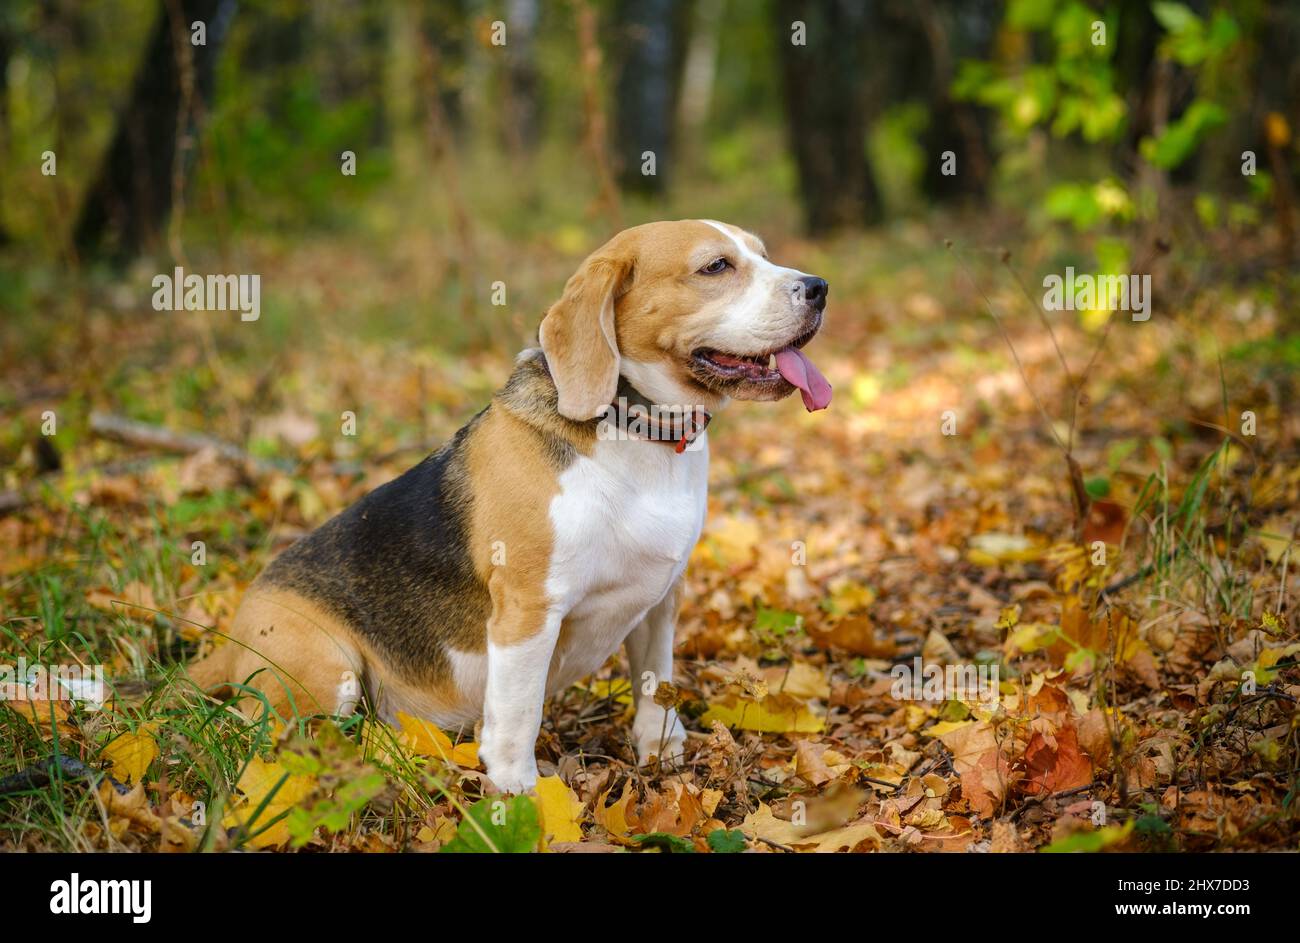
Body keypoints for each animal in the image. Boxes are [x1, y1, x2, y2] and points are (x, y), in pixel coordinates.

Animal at [187, 217, 826, 790]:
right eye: (716, 267)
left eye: (763, 254)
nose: (819, 287)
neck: (636, 432)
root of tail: (234, 627)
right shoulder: (528, 610)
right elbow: (519, 716)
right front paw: (521, 797)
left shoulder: (661, 596)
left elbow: (655, 680)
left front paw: (660, 750)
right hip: (325, 674)